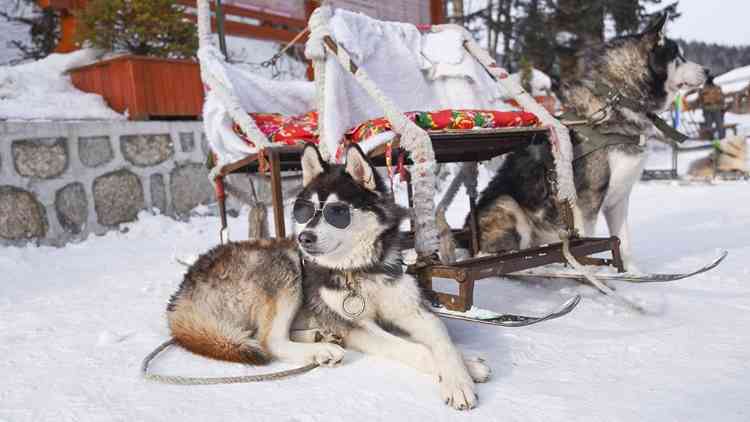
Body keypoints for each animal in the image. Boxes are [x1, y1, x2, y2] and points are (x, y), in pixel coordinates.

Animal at [167, 144, 490, 408]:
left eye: (337, 212)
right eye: (305, 211)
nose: (304, 238)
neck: (359, 270)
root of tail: (184, 288)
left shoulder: (412, 310)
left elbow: (442, 340)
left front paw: (463, 370)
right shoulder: (357, 325)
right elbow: (418, 349)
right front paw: (459, 379)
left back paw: (320, 336)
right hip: (285, 267)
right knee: (268, 340)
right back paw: (321, 349)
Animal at [472, 14, 708, 270]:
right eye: (678, 57)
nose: (707, 70)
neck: (618, 105)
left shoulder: (619, 199)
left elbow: (624, 242)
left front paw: (632, 273)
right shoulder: (587, 201)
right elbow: (587, 244)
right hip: (509, 206)